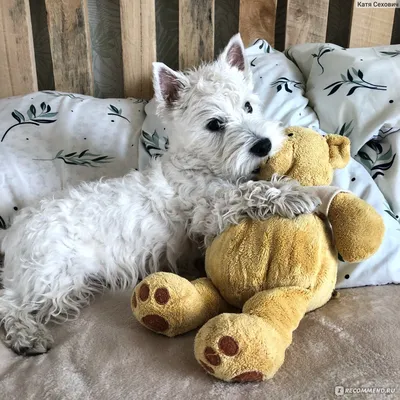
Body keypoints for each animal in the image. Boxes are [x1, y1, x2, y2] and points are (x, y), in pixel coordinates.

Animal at [0, 33, 318, 354]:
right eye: (214, 124)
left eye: (249, 106)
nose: (263, 145)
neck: (201, 164)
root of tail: (13, 230)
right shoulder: (208, 210)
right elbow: (246, 193)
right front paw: (293, 195)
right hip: (51, 273)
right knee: (9, 301)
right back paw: (27, 336)